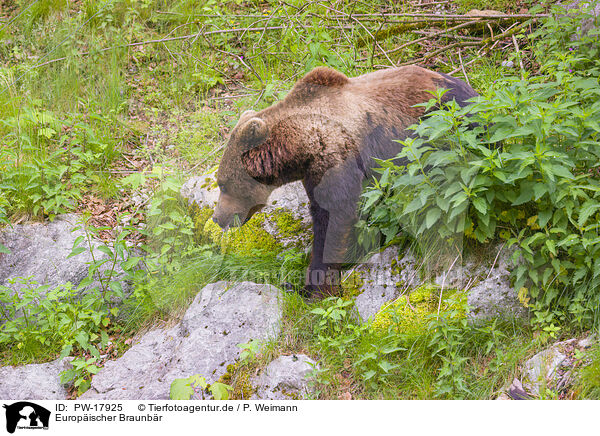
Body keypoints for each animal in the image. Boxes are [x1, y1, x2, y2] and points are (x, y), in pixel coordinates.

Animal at [212, 65, 478, 296]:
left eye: (222, 183)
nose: (217, 218)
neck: (301, 148)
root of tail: (473, 90)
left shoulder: (337, 163)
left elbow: (334, 220)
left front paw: (315, 288)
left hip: (446, 126)